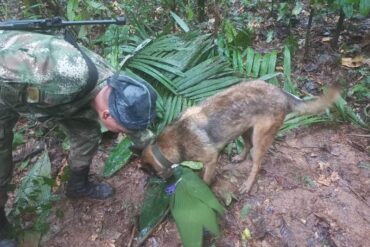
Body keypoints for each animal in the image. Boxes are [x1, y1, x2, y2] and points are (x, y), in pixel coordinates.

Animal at [142, 80, 342, 194]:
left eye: (151, 173)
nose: (157, 183)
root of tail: (283, 93)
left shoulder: (211, 159)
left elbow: (206, 179)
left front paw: (204, 188)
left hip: (260, 138)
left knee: (256, 164)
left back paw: (248, 184)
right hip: (245, 129)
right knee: (247, 146)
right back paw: (240, 157)